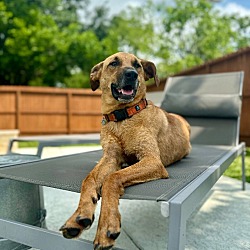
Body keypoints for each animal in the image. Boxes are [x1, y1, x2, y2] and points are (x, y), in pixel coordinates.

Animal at [59, 51, 191, 249]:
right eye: (113, 63)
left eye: (137, 65)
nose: (132, 74)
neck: (122, 118)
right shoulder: (110, 158)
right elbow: (89, 179)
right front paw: (79, 216)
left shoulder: (152, 160)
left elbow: (112, 179)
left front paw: (107, 224)